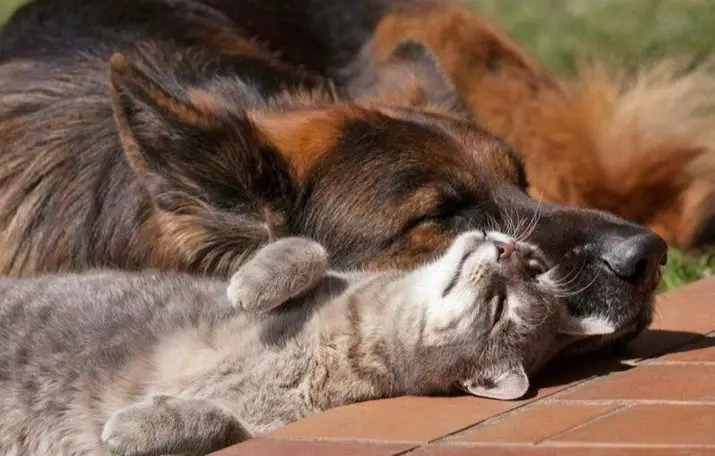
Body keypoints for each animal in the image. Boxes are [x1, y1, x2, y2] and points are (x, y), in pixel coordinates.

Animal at [0, 232, 600, 456]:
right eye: (536, 265)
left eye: (501, 309)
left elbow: (220, 422)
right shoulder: (331, 270)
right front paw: (251, 285)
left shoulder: (271, 427)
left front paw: (135, 427)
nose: (509, 249)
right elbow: (308, 248)